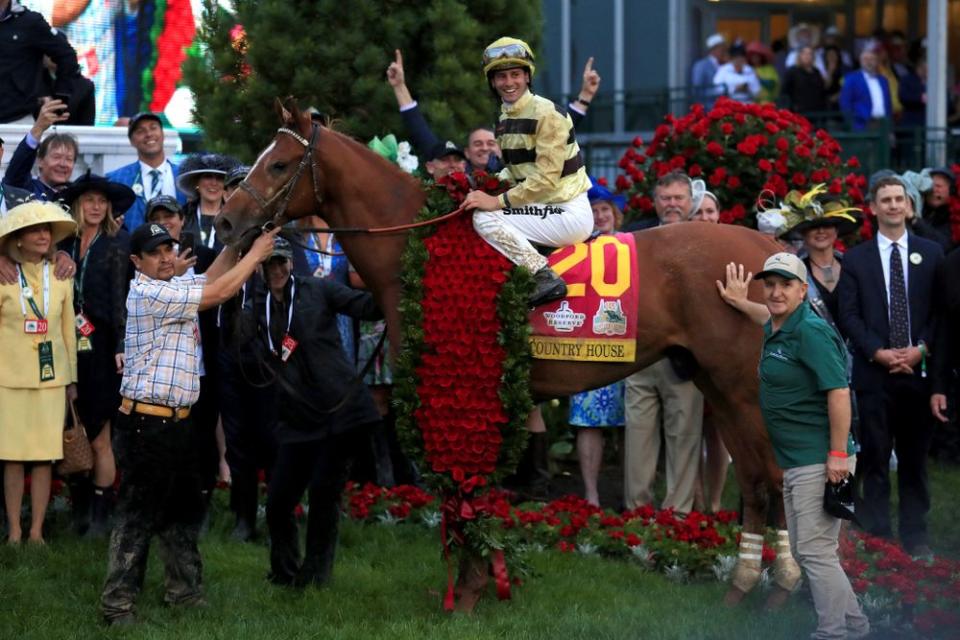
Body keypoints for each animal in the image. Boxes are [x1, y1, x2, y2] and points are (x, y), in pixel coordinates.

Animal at [218, 97, 796, 608]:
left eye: (279, 163)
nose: (225, 220)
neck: (419, 250)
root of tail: (770, 247)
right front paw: (475, 583)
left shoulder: (456, 388)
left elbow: (462, 485)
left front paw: (470, 591)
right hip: (714, 383)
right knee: (755, 481)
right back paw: (743, 587)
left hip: (743, 387)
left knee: (774, 475)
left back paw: (782, 588)